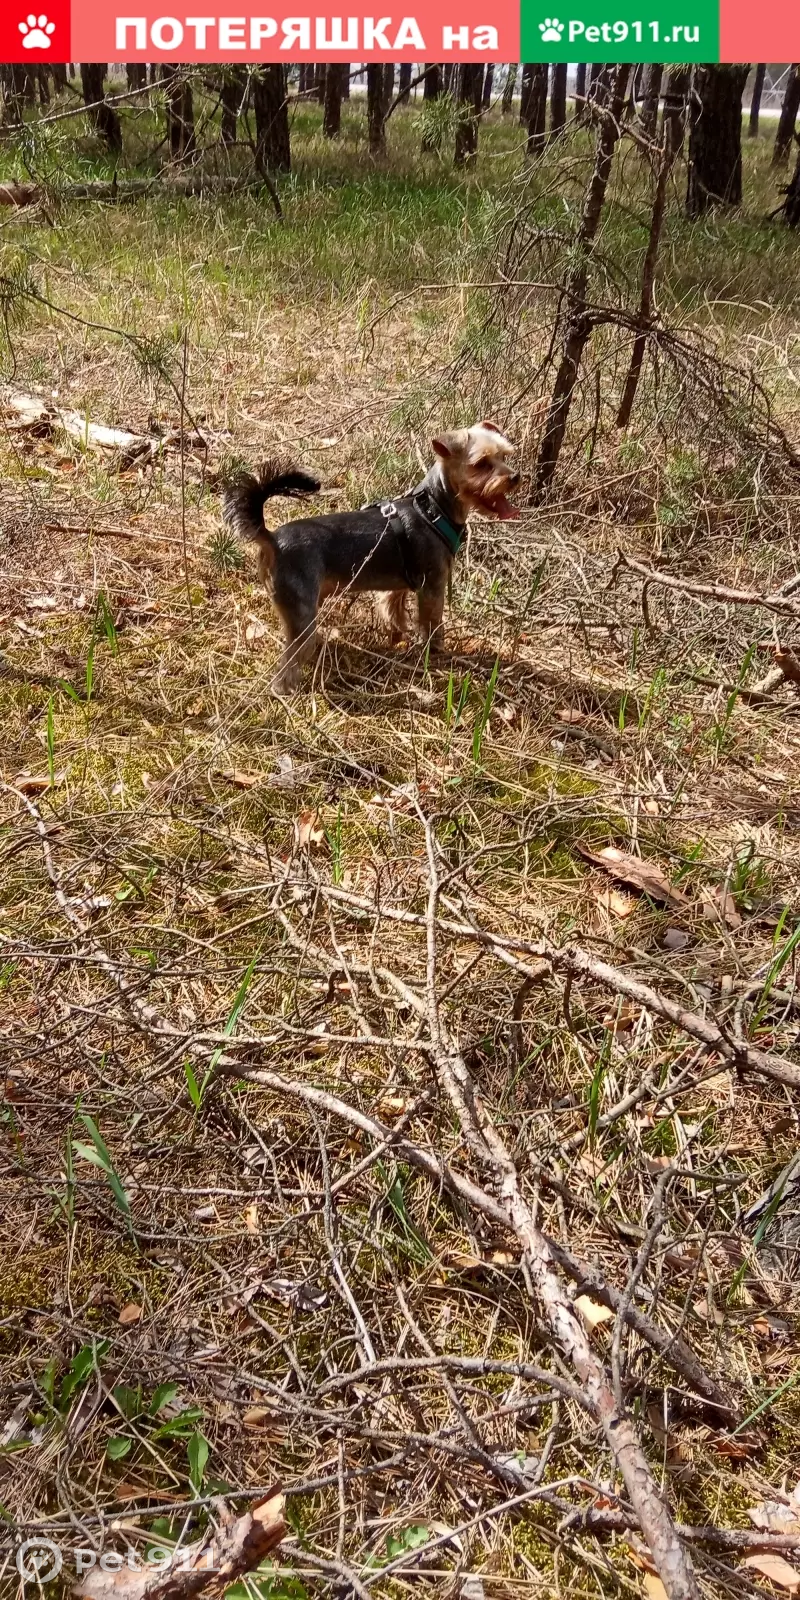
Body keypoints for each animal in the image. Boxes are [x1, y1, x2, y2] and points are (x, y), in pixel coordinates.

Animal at [222, 422, 521, 691]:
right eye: (481, 463)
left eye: (504, 456)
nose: (515, 477)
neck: (432, 509)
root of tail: (272, 538)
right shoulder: (432, 587)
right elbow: (432, 625)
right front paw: (435, 653)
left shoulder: (400, 586)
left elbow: (394, 612)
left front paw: (399, 638)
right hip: (302, 610)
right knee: (289, 661)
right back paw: (287, 690)